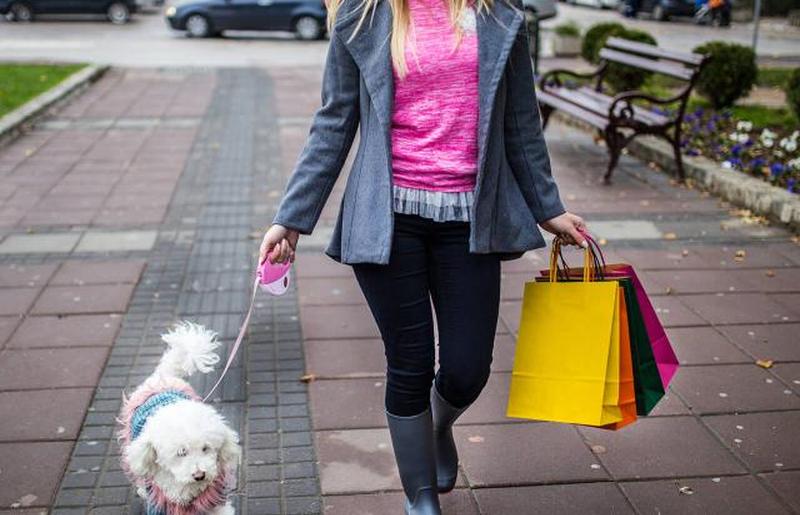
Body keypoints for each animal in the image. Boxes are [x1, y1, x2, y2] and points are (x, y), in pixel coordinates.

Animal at [117, 321, 241, 515]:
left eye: (206, 448)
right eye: (181, 453)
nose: (199, 475)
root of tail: (163, 378)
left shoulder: (214, 500)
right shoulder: (160, 504)